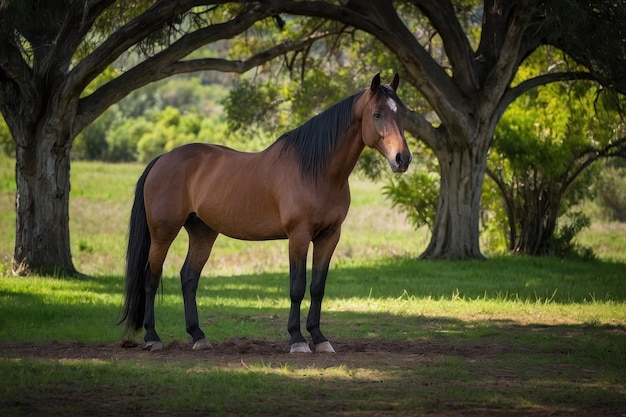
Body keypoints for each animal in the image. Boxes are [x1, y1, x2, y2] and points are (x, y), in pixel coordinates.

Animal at [119, 73, 412, 352]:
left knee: (188, 278)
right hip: (163, 233)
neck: (315, 171)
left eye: (402, 114)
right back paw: (152, 337)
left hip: (203, 232)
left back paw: (199, 336)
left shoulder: (330, 236)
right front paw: (297, 340)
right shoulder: (299, 236)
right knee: (151, 277)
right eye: (377, 114)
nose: (403, 159)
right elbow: (297, 286)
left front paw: (319, 338)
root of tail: (162, 159)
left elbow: (317, 287)